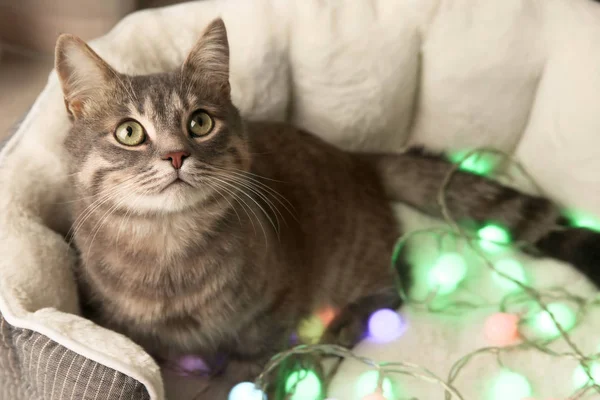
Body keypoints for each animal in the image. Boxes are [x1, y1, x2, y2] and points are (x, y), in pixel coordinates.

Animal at [55, 18, 600, 396]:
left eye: (200, 123)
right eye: (130, 132)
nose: (175, 154)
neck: (168, 248)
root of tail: (357, 157)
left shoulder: (269, 317)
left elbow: (246, 370)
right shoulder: (123, 326)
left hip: (357, 267)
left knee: (395, 287)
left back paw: (343, 326)